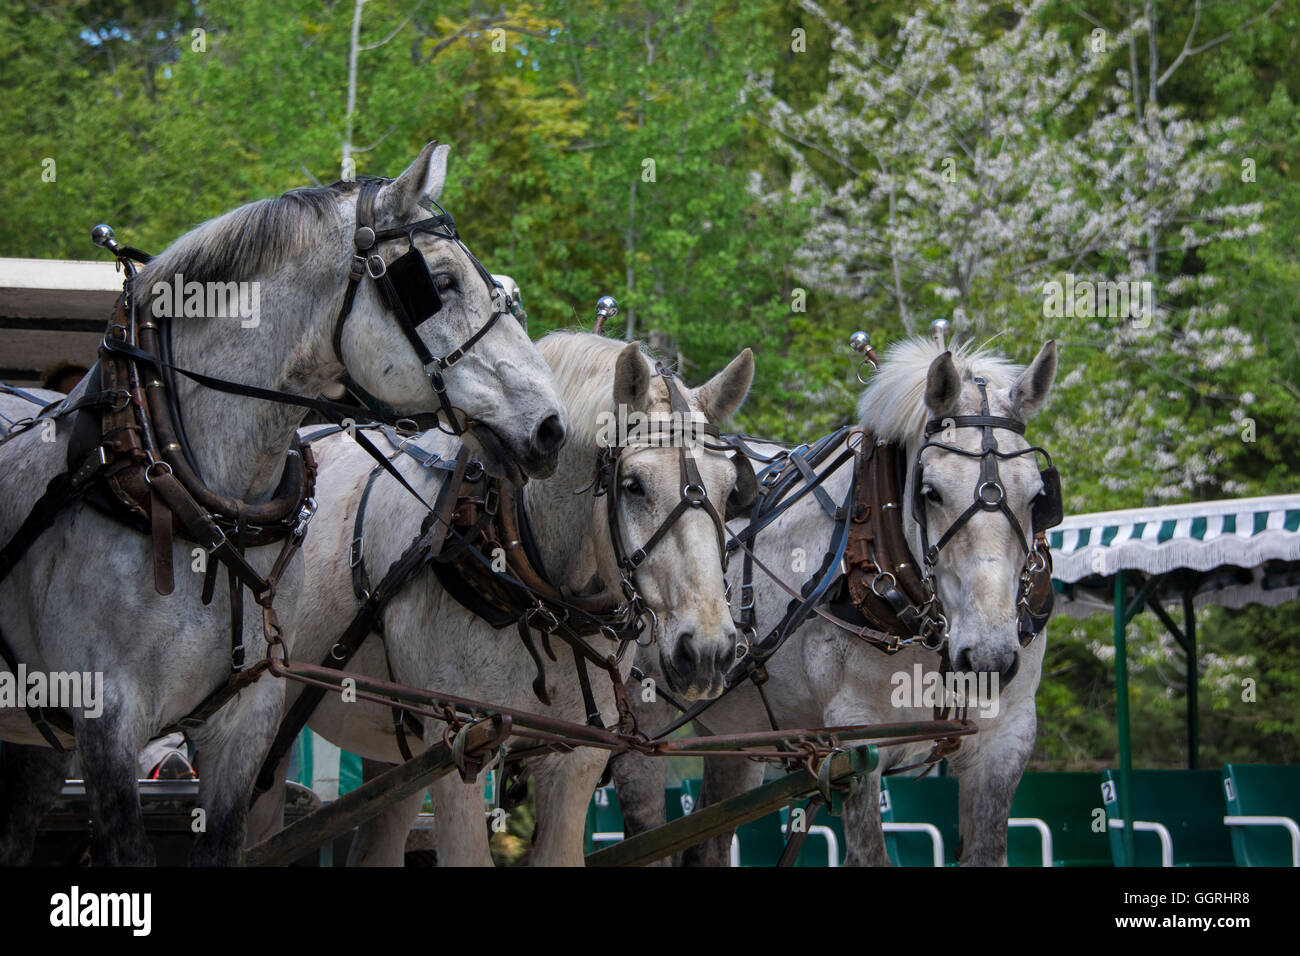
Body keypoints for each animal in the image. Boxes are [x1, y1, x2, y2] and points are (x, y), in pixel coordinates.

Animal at [612, 335, 1059, 866]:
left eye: (1037, 497)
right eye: (930, 492)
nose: (988, 658)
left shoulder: (1006, 740)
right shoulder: (857, 739)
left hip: (734, 733)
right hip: (641, 729)